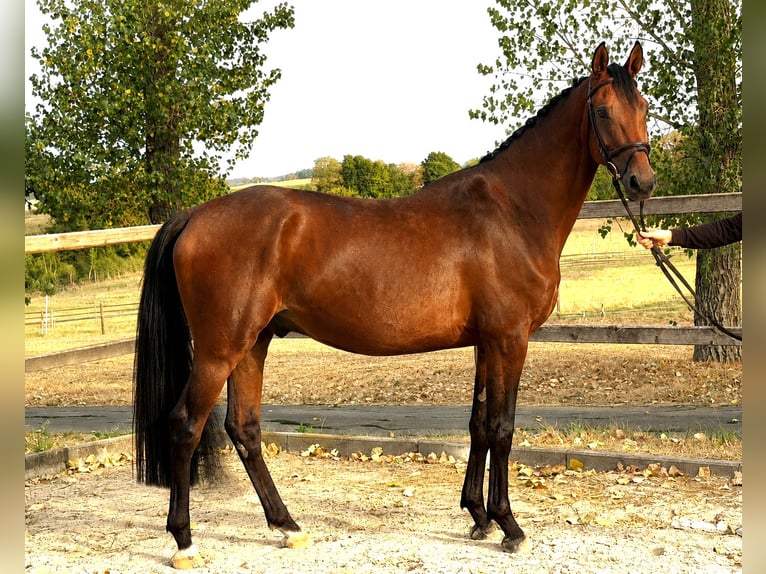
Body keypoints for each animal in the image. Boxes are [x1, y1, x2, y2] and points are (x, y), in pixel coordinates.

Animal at [134, 41, 655, 568]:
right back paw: (184, 542)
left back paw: (288, 526)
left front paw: (478, 516)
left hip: (252, 343)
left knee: (244, 429)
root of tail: (194, 216)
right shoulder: (509, 339)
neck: (512, 211)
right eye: (604, 111)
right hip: (220, 350)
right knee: (185, 427)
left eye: (644, 107)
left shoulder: (486, 343)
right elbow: (502, 428)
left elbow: (479, 424)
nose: (643, 182)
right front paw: (509, 525)